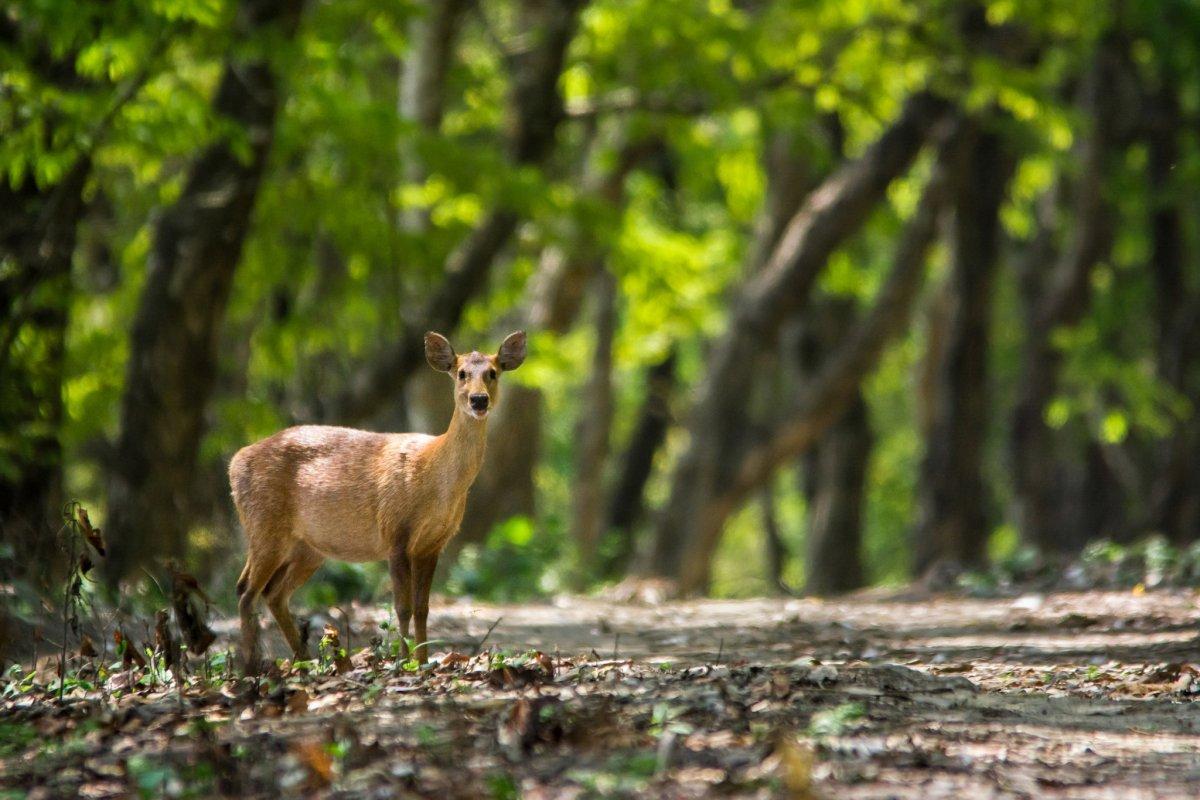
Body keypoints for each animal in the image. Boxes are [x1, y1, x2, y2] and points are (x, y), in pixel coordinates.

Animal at [229, 328, 525, 671]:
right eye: (461, 373)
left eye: (493, 372)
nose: (479, 400)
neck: (434, 476)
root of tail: (235, 462)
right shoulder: (395, 531)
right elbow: (402, 607)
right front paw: (403, 662)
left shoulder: (433, 543)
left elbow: (423, 608)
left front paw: (423, 662)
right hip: (264, 524)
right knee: (246, 590)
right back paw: (252, 668)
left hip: (307, 547)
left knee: (272, 593)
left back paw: (304, 662)